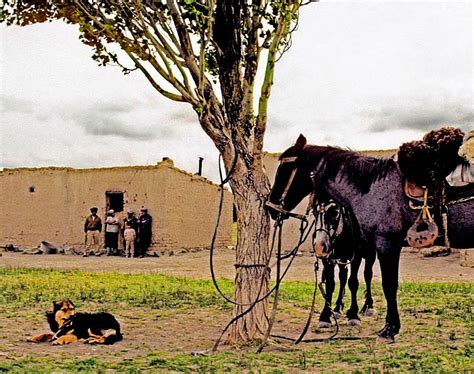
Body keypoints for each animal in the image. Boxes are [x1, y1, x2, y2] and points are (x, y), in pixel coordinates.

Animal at [312, 197, 376, 328]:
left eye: (335, 212)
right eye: (314, 212)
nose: (319, 247)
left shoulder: (356, 257)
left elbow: (353, 282)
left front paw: (353, 315)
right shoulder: (328, 259)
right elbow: (330, 284)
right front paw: (325, 316)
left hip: (370, 253)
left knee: (368, 275)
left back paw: (368, 306)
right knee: (343, 276)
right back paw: (337, 308)